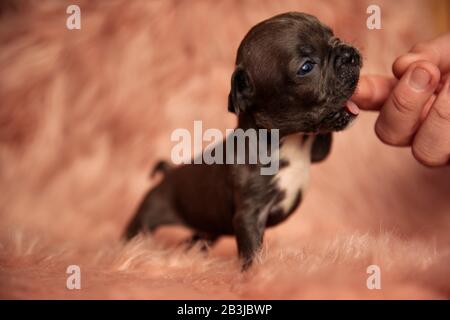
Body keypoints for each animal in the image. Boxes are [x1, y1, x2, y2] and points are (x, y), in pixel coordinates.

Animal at [124, 11, 362, 270]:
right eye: (306, 67)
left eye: (333, 35)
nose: (349, 54)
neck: (289, 142)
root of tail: (168, 174)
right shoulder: (249, 217)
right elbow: (251, 253)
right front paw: (255, 275)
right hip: (149, 215)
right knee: (134, 233)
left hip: (208, 229)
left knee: (194, 241)